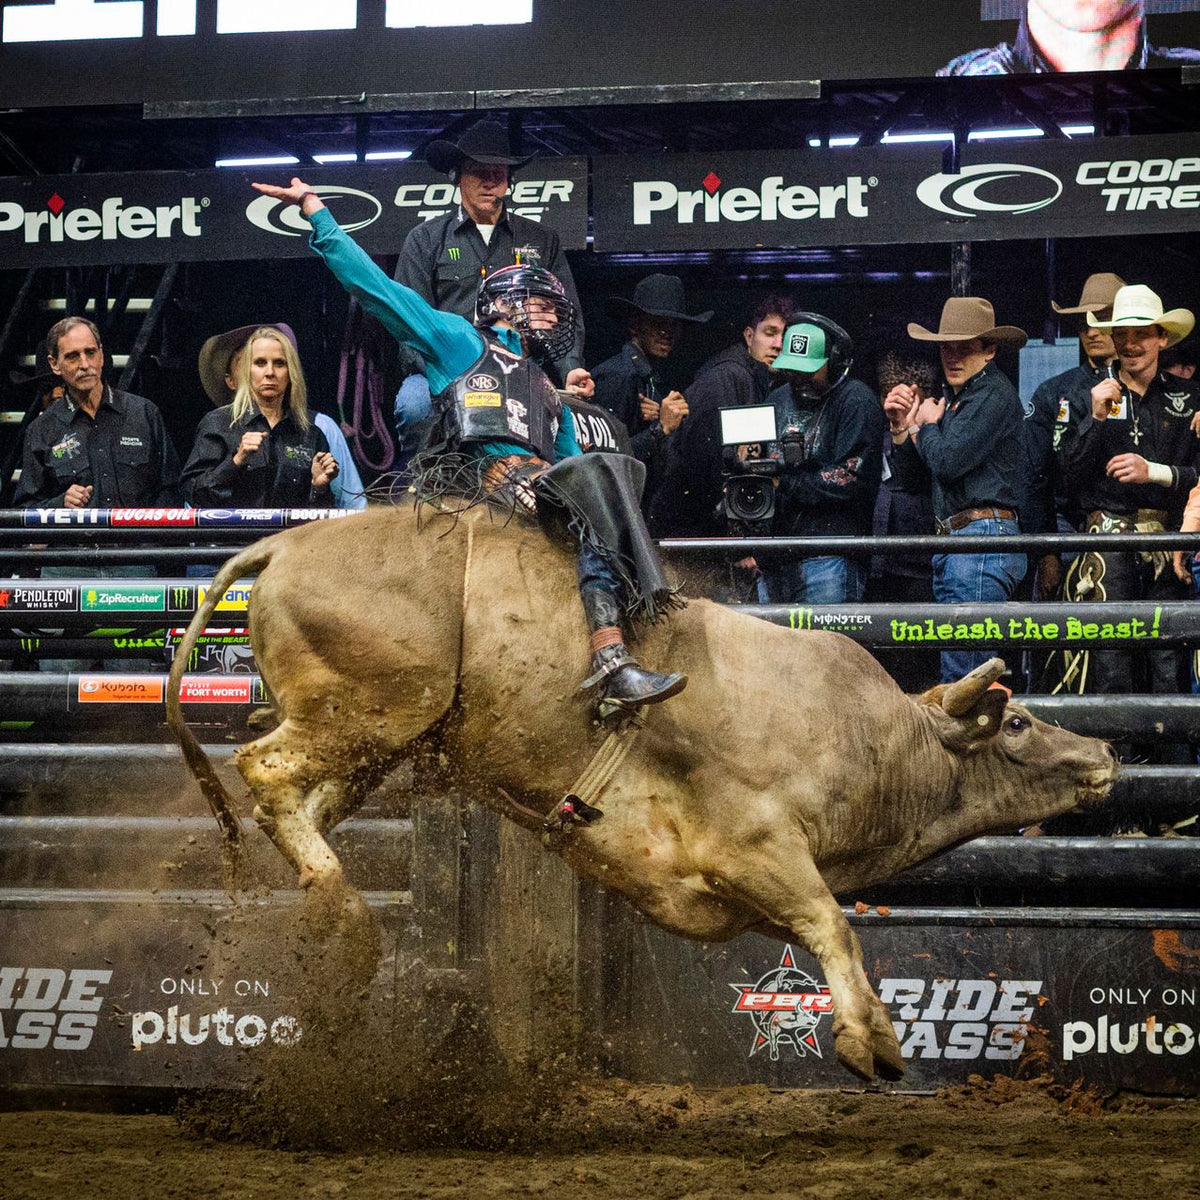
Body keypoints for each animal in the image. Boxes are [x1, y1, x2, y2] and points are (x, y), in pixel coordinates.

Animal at [166, 501, 1113, 1084]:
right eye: (1017, 721)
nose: (1104, 750)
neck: (870, 734)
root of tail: (284, 543)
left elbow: (824, 932)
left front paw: (874, 1030)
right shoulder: (757, 846)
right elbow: (833, 924)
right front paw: (868, 1043)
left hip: (380, 737)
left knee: (303, 806)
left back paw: (337, 921)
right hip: (369, 709)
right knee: (267, 773)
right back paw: (343, 909)